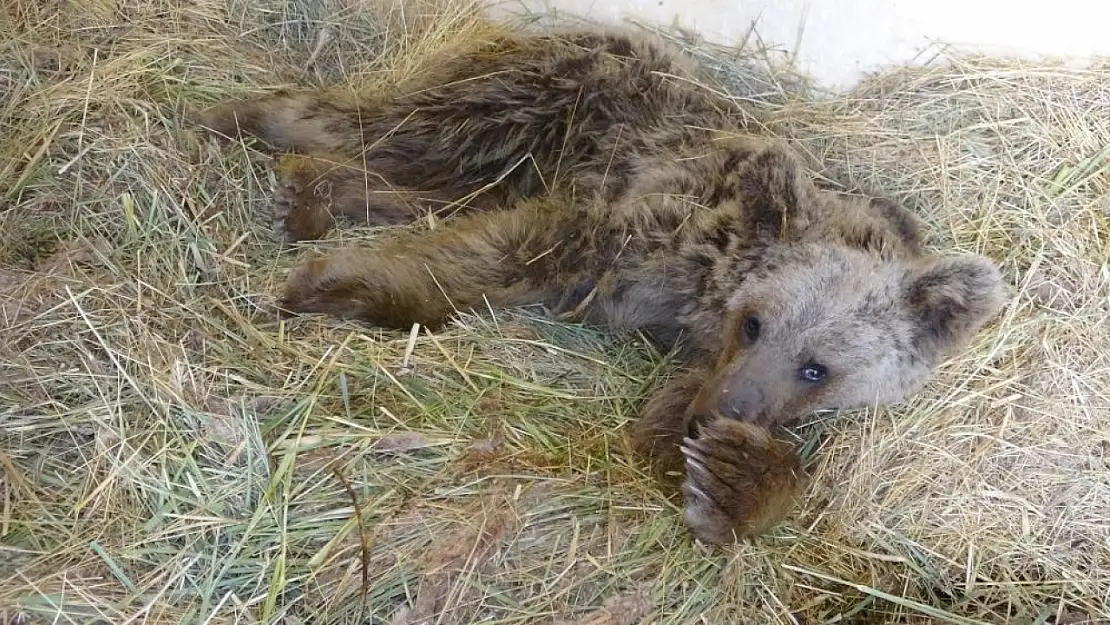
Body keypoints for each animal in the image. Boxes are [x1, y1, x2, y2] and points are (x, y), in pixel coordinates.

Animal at [197, 25, 1007, 543]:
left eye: (818, 369)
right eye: (755, 323)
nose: (716, 416)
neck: (704, 294)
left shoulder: (701, 347)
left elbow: (687, 432)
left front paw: (730, 478)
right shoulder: (634, 235)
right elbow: (504, 256)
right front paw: (340, 285)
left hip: (500, 161)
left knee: (414, 181)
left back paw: (311, 192)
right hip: (531, 105)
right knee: (386, 128)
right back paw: (247, 116)